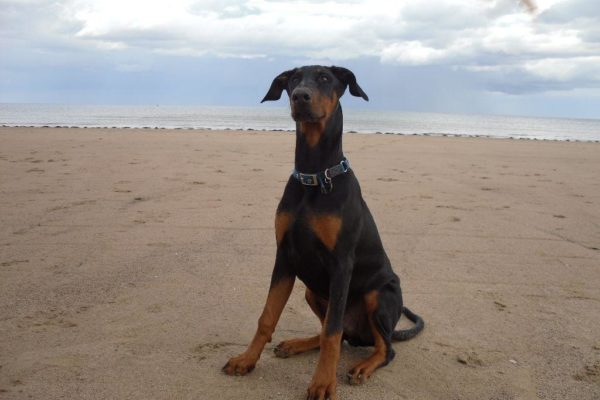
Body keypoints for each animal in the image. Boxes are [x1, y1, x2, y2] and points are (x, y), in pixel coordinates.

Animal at [223, 66, 424, 400]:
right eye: (292, 79)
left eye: (325, 79)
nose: (299, 96)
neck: (314, 175)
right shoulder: (284, 255)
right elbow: (268, 317)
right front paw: (246, 359)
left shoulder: (341, 263)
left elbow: (332, 332)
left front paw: (322, 383)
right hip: (311, 291)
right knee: (339, 334)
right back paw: (296, 344)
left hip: (378, 294)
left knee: (381, 347)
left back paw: (362, 367)